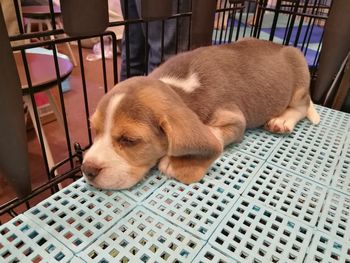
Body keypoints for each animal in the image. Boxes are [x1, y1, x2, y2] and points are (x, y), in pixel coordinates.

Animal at [81, 37, 320, 190]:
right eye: (94, 130)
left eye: (129, 140)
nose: (86, 169)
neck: (177, 88)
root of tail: (281, 45)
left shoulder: (235, 119)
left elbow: (214, 134)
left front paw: (173, 162)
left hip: (299, 75)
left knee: (301, 105)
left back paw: (282, 121)